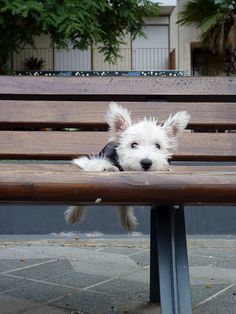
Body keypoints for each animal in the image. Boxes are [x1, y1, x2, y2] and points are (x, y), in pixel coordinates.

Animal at [64, 102, 190, 231]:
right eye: (133, 144)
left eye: (157, 146)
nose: (146, 162)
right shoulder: (101, 159)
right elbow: (99, 167)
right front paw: (108, 168)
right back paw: (74, 215)